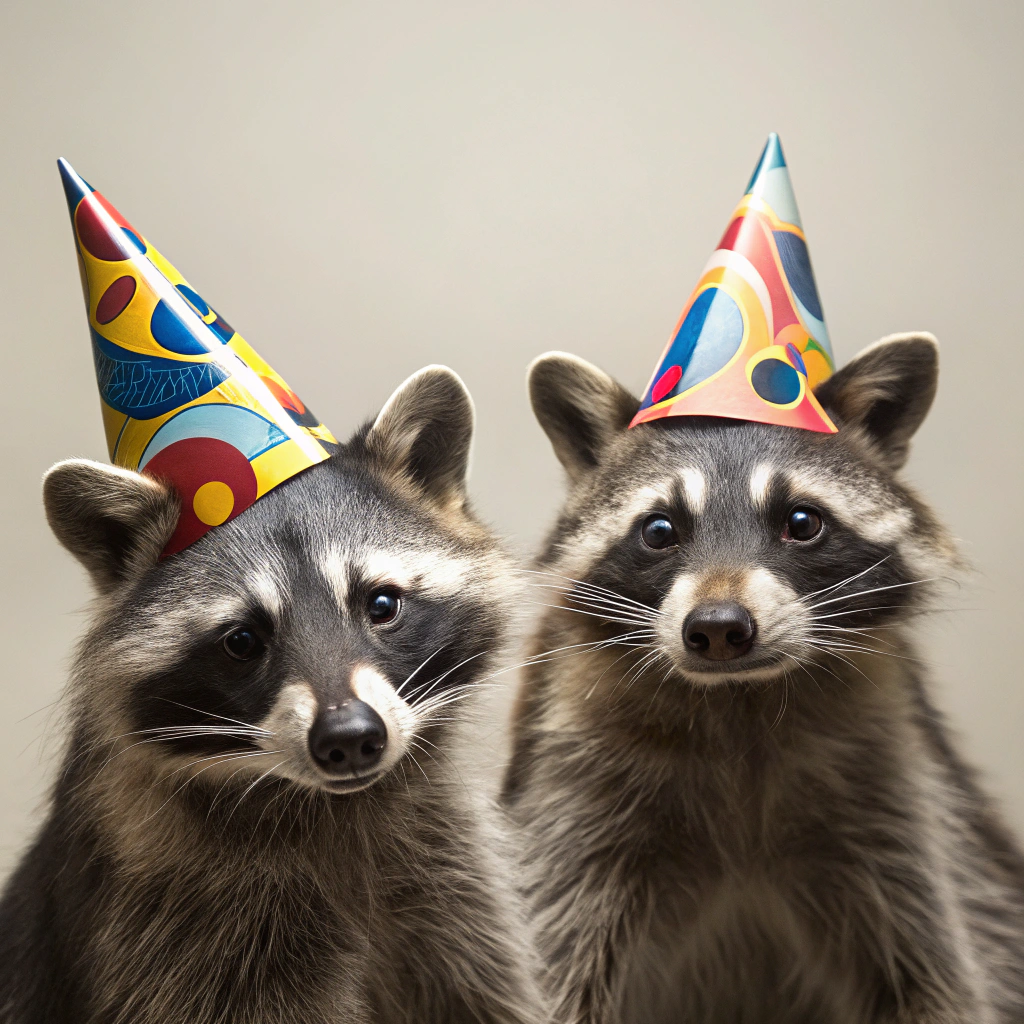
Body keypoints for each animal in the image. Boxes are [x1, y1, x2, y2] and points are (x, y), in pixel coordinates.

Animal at [0, 366, 544, 1024]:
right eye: (242, 640)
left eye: (381, 604)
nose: (349, 738)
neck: (329, 802)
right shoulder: (175, 934)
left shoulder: (457, 898)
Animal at [502, 335, 1024, 1024]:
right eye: (659, 530)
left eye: (801, 522)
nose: (719, 628)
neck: (738, 699)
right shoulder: (568, 804)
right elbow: (550, 963)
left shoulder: (899, 805)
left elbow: (939, 976)